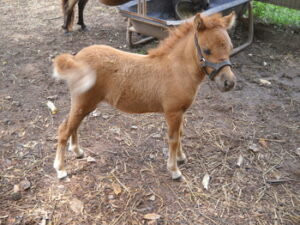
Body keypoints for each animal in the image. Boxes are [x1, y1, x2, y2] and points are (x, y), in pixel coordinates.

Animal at [53, 13, 237, 180]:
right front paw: (174, 170)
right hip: (83, 102)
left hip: (85, 104)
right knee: (64, 129)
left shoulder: (181, 111)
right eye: (207, 50)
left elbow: (181, 133)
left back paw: (77, 151)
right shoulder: (173, 112)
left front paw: (181, 157)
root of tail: (75, 58)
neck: (177, 69)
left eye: (230, 47)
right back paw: (61, 170)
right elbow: (173, 138)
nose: (229, 83)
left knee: (73, 126)